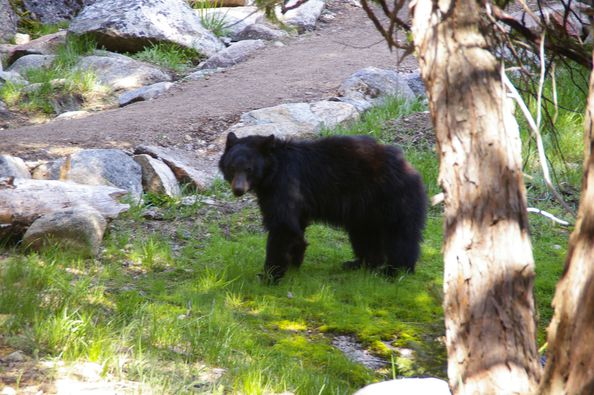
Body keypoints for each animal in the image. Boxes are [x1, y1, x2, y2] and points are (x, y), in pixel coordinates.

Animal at [217, 135, 426, 284]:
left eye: (249, 169)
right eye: (232, 167)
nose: (238, 189)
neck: (272, 171)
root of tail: (411, 168)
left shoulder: (286, 184)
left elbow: (283, 226)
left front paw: (268, 275)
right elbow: (295, 227)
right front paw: (294, 262)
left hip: (392, 198)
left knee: (400, 236)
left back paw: (395, 271)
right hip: (365, 210)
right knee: (364, 235)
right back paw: (358, 264)